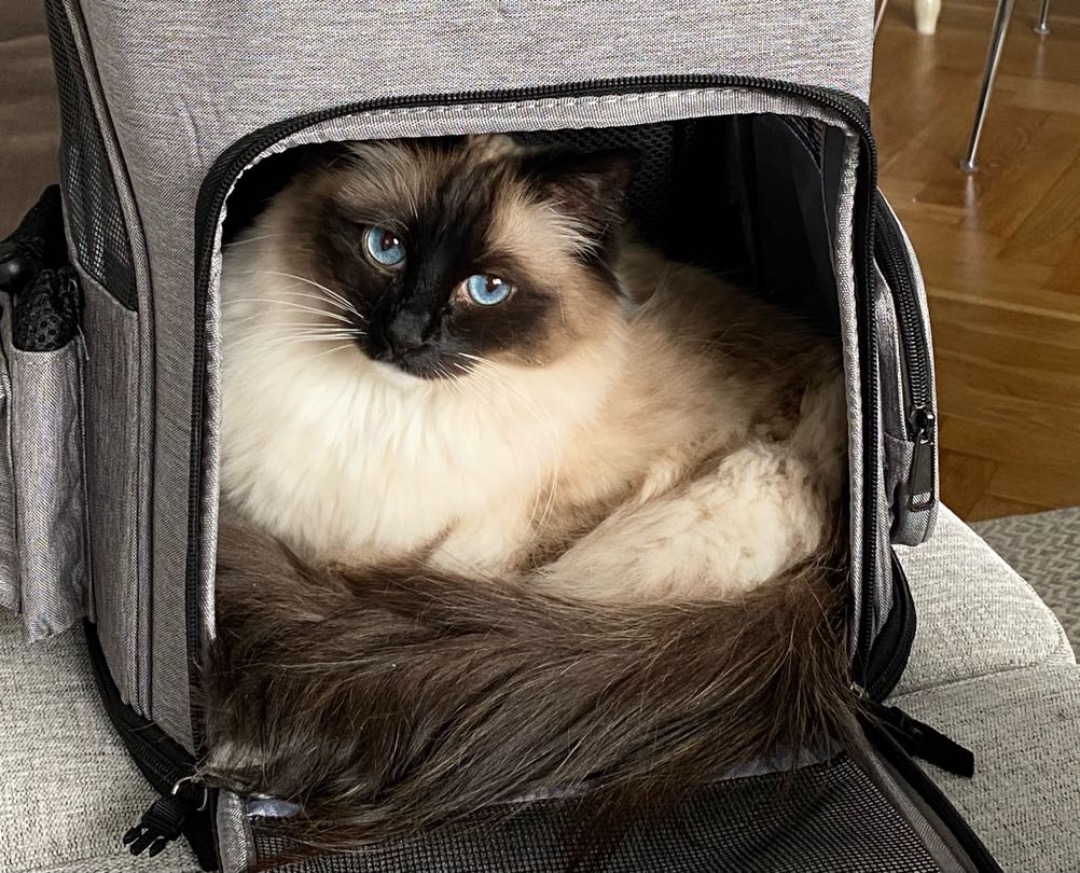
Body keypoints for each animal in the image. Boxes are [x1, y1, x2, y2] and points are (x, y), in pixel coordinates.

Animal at [202, 134, 854, 857]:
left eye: (488, 290)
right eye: (386, 248)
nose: (406, 335)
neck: (385, 413)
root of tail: (834, 579)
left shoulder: (531, 530)